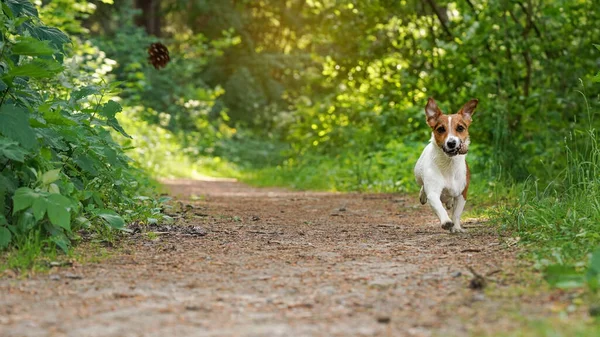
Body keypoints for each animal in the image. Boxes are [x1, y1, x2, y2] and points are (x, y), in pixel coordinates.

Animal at [414, 97, 480, 231]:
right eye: (440, 129)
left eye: (460, 128)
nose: (451, 143)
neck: (449, 164)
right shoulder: (433, 192)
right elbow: (439, 206)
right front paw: (446, 221)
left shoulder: (462, 194)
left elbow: (457, 213)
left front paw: (456, 227)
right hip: (418, 175)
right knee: (423, 186)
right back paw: (423, 195)